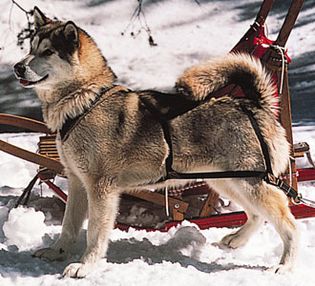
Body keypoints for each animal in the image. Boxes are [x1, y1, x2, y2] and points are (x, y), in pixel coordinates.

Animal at [12, 6, 298, 278]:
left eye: (48, 52)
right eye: (30, 48)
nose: (17, 67)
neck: (85, 100)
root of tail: (252, 104)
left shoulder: (101, 189)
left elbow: (94, 232)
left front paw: (85, 266)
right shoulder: (76, 181)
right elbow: (69, 226)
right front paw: (57, 252)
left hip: (247, 182)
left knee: (288, 222)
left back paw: (284, 266)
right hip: (226, 181)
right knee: (257, 215)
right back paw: (236, 240)